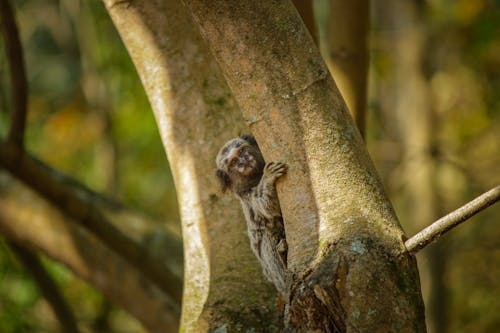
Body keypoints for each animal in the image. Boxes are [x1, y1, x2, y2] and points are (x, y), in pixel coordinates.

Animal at [216, 134, 290, 294]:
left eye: (242, 151)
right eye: (233, 163)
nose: (244, 161)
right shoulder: (249, 198)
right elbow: (268, 206)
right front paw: (268, 178)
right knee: (267, 237)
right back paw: (283, 257)